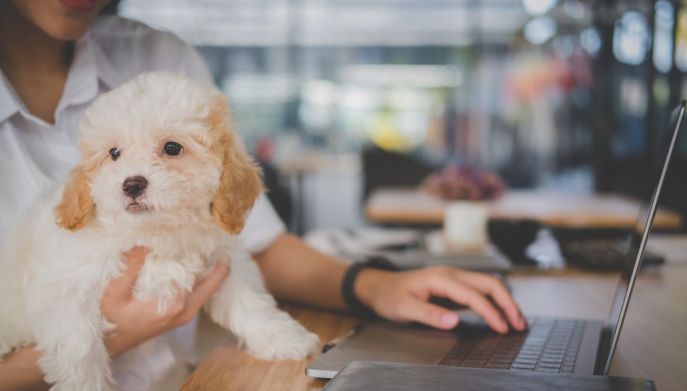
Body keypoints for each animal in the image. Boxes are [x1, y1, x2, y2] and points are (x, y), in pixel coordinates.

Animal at [0, 72, 318, 390]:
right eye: (114, 153)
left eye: (172, 148)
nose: (131, 185)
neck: (154, 234)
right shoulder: (66, 296)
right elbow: (81, 355)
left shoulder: (223, 260)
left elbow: (250, 301)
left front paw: (285, 338)